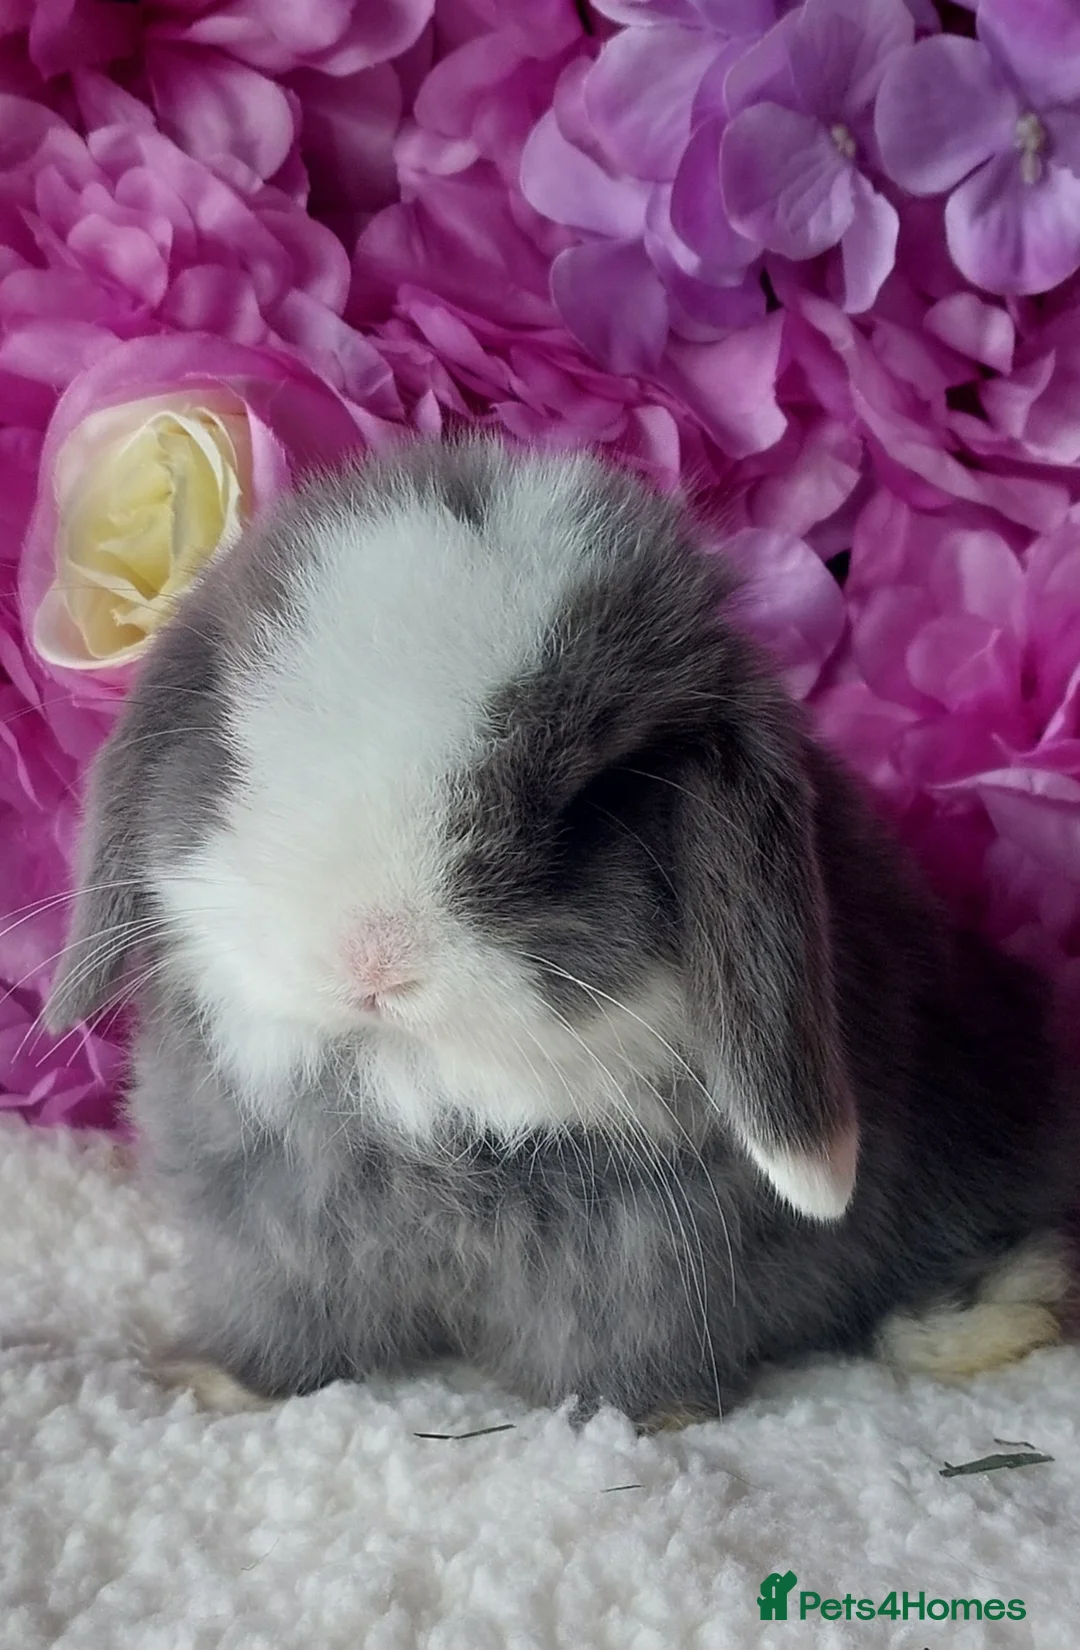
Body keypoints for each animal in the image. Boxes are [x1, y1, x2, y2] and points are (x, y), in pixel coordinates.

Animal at [47, 435, 1078, 1427]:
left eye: (591, 803)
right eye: (240, 746)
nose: (372, 958)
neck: (425, 1095)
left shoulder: (652, 1265)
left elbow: (618, 1352)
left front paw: (646, 1419)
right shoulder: (272, 1235)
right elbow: (286, 1323)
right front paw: (222, 1385)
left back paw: (996, 1317)